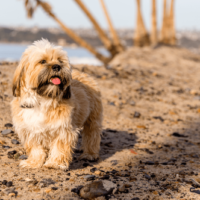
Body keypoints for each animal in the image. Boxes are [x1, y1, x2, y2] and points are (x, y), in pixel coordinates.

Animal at [10, 38, 102, 169]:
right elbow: (35, 148)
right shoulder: (30, 130)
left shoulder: (63, 129)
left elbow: (60, 147)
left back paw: (90, 153)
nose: (57, 66)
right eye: (43, 61)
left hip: (93, 118)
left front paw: (55, 163)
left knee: (92, 134)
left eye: (60, 60)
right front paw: (33, 162)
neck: (42, 100)